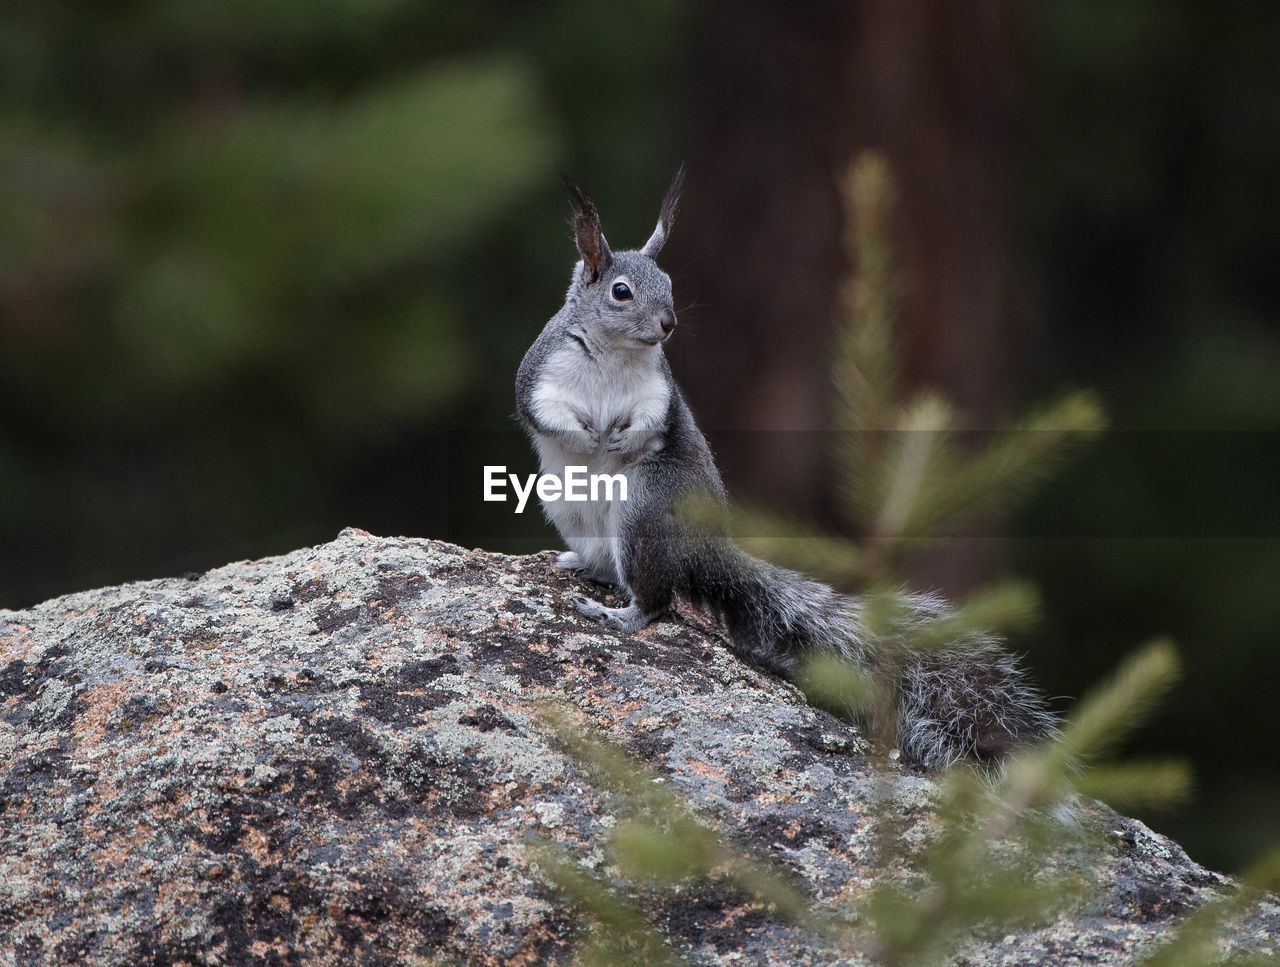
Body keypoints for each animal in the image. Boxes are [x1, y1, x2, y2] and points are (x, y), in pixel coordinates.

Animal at [514, 170, 1054, 768]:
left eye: (669, 282)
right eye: (621, 291)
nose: (668, 324)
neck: (614, 354)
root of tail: (707, 551)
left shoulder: (659, 392)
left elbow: (652, 421)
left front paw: (618, 437)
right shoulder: (540, 375)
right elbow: (543, 413)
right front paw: (587, 436)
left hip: (645, 507)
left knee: (656, 599)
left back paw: (617, 613)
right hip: (570, 503)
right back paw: (583, 567)